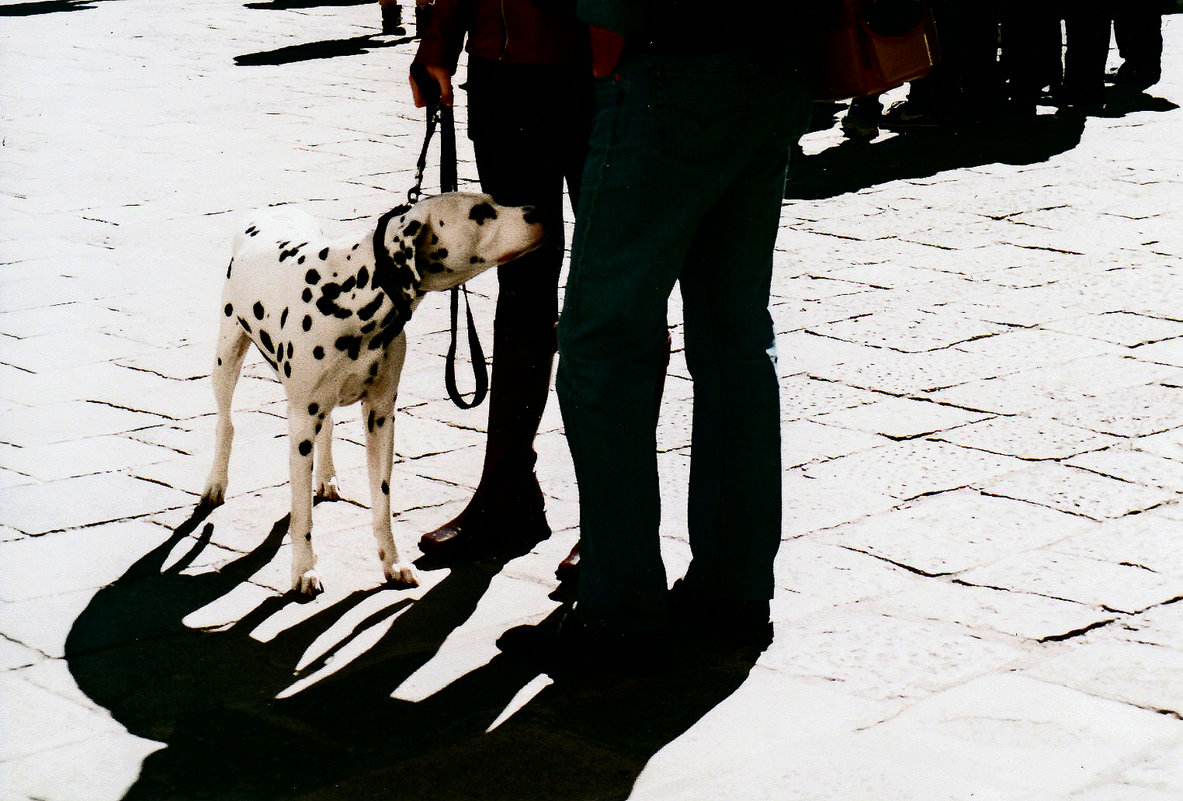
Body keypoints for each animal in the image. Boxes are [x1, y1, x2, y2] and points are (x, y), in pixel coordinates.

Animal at [197, 191, 544, 593]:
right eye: (480, 213)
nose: (540, 212)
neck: (353, 296)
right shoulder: (300, 423)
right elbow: (302, 515)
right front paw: (304, 570)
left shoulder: (380, 415)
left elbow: (382, 502)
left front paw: (392, 562)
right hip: (226, 359)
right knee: (226, 423)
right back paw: (215, 484)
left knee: (328, 427)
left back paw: (327, 477)